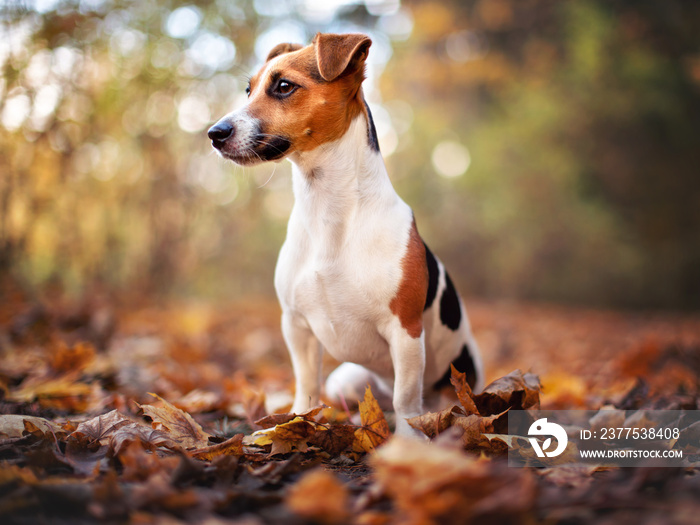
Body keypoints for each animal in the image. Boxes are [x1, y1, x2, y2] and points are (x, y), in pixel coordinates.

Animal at [205, 31, 484, 434]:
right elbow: (307, 386)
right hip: (348, 379)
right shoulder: (296, 326)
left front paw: (407, 441)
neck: (327, 209)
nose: (214, 133)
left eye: (284, 86)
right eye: (248, 89)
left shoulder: (405, 331)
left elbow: (405, 401)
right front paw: (294, 424)